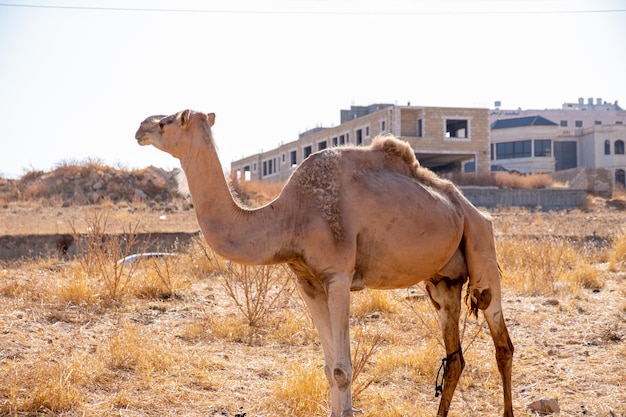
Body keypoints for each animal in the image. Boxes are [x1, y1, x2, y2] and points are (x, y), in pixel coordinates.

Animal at [135, 109, 512, 414]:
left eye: (168, 120)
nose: (140, 127)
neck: (289, 216)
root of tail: (469, 206)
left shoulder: (338, 276)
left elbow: (343, 370)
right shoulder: (307, 281)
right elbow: (329, 368)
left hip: (481, 248)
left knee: (502, 344)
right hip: (441, 280)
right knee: (455, 357)